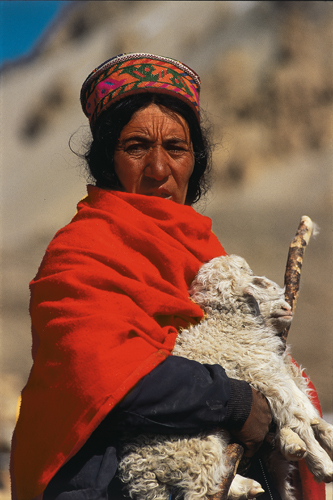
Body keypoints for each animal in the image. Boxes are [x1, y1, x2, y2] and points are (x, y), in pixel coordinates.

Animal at [117, 256, 332, 498]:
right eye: (258, 283)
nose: (286, 308)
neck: (228, 323)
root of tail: (145, 475)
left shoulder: (274, 369)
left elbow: (304, 408)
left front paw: (320, 437)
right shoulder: (262, 372)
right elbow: (297, 415)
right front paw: (321, 463)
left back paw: (249, 485)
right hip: (197, 444)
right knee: (202, 486)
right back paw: (245, 486)